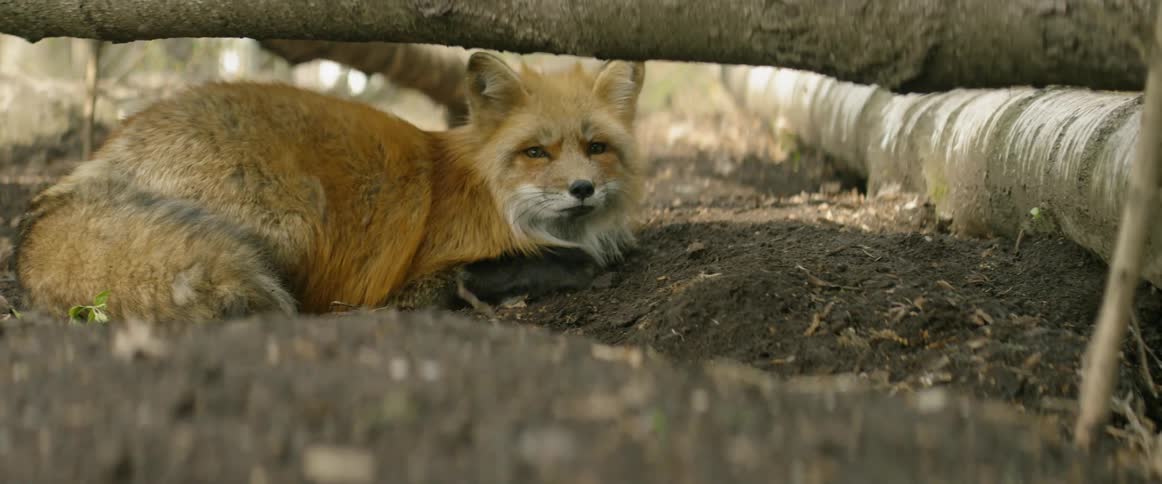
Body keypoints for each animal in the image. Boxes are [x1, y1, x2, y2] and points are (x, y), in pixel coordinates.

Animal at [14, 51, 646, 322]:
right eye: (536, 152)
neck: (493, 196)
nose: (582, 189)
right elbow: (574, 262)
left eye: (596, 147)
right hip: (293, 220)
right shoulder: (422, 274)